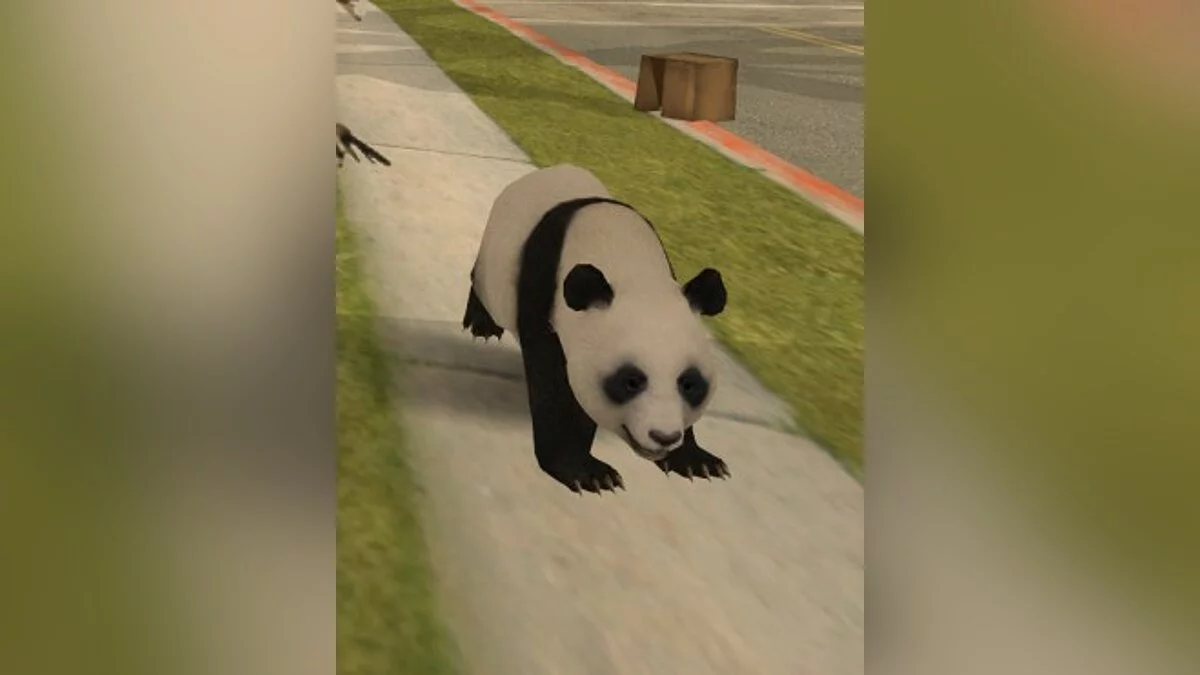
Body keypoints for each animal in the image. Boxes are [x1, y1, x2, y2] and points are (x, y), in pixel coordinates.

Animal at [462, 164, 731, 495]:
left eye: (690, 384)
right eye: (630, 381)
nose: (664, 436)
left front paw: (696, 461)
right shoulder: (543, 301)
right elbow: (555, 389)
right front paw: (587, 472)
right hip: (495, 262)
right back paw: (482, 324)